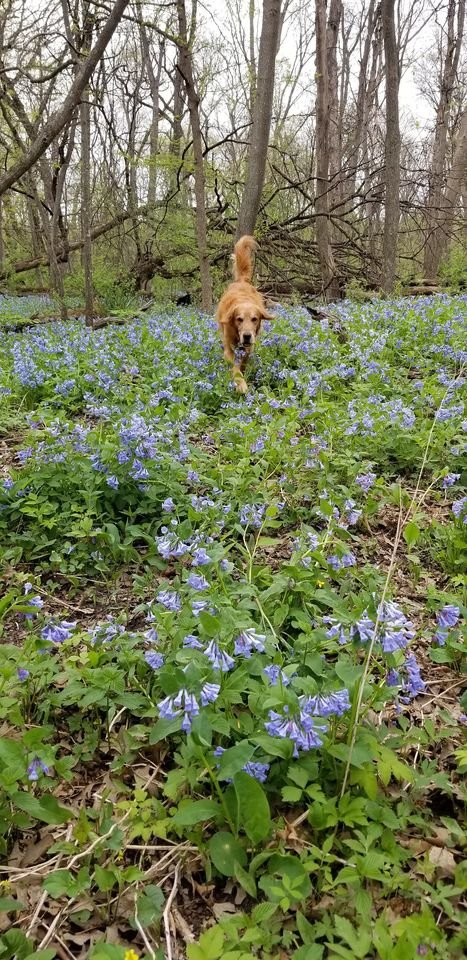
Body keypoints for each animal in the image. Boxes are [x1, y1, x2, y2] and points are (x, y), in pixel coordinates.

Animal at [217, 235, 272, 394]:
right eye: (239, 319)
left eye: (255, 319)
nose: (247, 336)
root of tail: (241, 280)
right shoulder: (228, 348)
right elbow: (235, 368)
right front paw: (241, 384)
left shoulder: (249, 348)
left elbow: (243, 363)